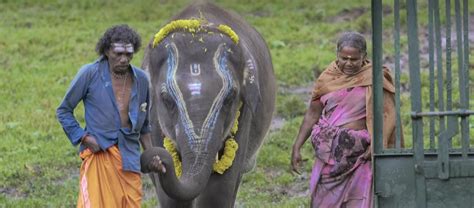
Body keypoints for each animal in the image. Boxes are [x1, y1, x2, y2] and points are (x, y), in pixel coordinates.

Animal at [139, 1, 276, 206]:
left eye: (230, 97)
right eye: (166, 99)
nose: (156, 161)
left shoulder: (243, 114)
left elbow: (219, 190)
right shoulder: (155, 119)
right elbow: (171, 198)